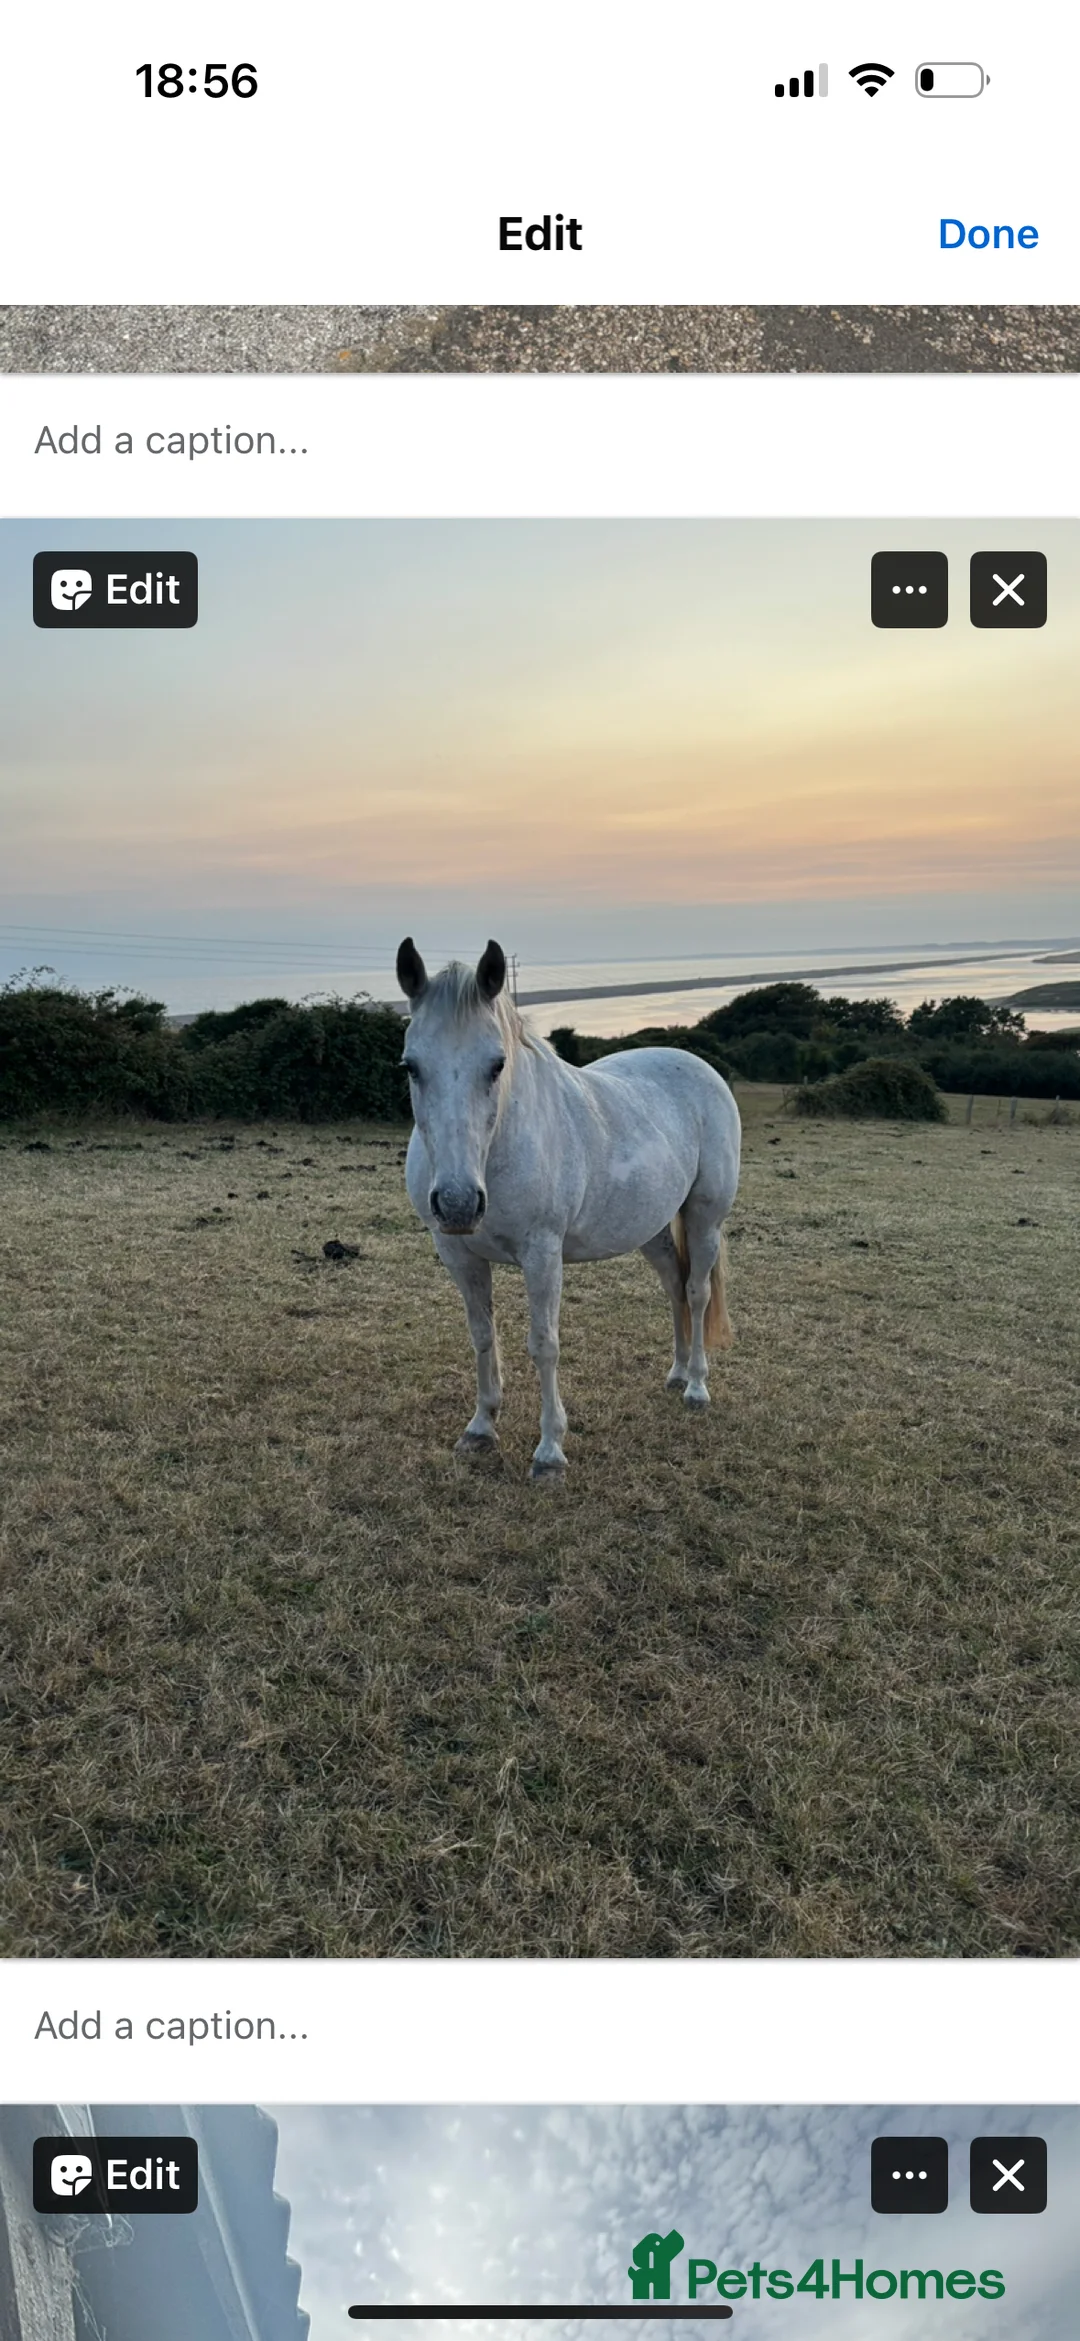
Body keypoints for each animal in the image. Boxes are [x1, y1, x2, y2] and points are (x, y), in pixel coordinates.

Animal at [397, 937, 741, 1481]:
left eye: (497, 1065)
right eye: (411, 1066)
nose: (457, 1203)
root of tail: (698, 1065)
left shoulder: (542, 1255)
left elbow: (544, 1344)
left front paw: (550, 1452)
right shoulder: (458, 1255)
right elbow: (482, 1335)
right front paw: (480, 1427)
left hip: (704, 1218)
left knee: (697, 1292)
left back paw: (696, 1387)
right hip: (650, 1230)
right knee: (675, 1288)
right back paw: (676, 1372)